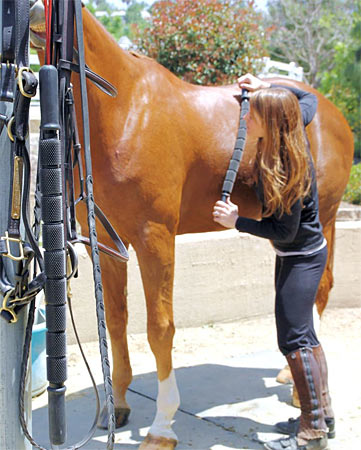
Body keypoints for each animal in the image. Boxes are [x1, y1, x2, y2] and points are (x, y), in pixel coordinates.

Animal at [30, 4, 352, 450]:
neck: (126, 107)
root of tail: (330, 111)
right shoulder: (108, 243)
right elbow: (116, 322)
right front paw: (117, 406)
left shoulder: (155, 238)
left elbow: (159, 328)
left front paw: (162, 427)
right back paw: (289, 376)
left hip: (328, 217)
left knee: (320, 289)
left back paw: (297, 391)